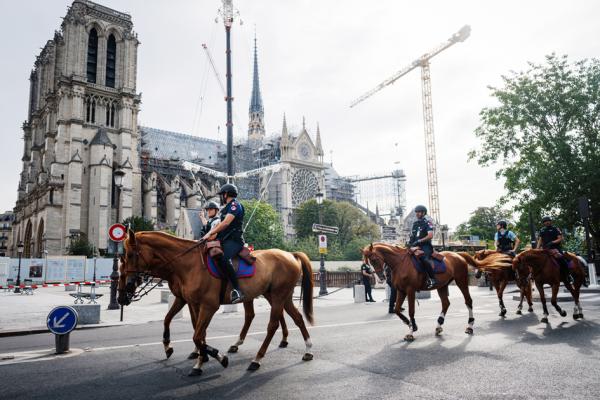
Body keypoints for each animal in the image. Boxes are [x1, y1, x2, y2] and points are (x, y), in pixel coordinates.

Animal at [117, 231, 314, 376]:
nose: (121, 298)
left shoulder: (208, 306)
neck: (186, 265)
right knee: (295, 317)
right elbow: (187, 327)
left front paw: (214, 357)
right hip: (279, 296)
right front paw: (196, 357)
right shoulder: (189, 301)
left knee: (272, 324)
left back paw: (257, 359)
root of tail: (290, 254)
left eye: (130, 255)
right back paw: (307, 349)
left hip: (278, 295)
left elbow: (197, 335)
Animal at [364, 244, 508, 340]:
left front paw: (411, 330)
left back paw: (470, 326)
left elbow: (411, 311)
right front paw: (409, 324)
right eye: (368, 261)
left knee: (468, 301)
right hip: (442, 286)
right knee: (446, 303)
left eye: (374, 259)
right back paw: (439, 325)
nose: (380, 277)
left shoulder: (410, 291)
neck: (400, 263)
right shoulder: (401, 291)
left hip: (461, 281)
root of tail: (458, 254)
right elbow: (397, 309)